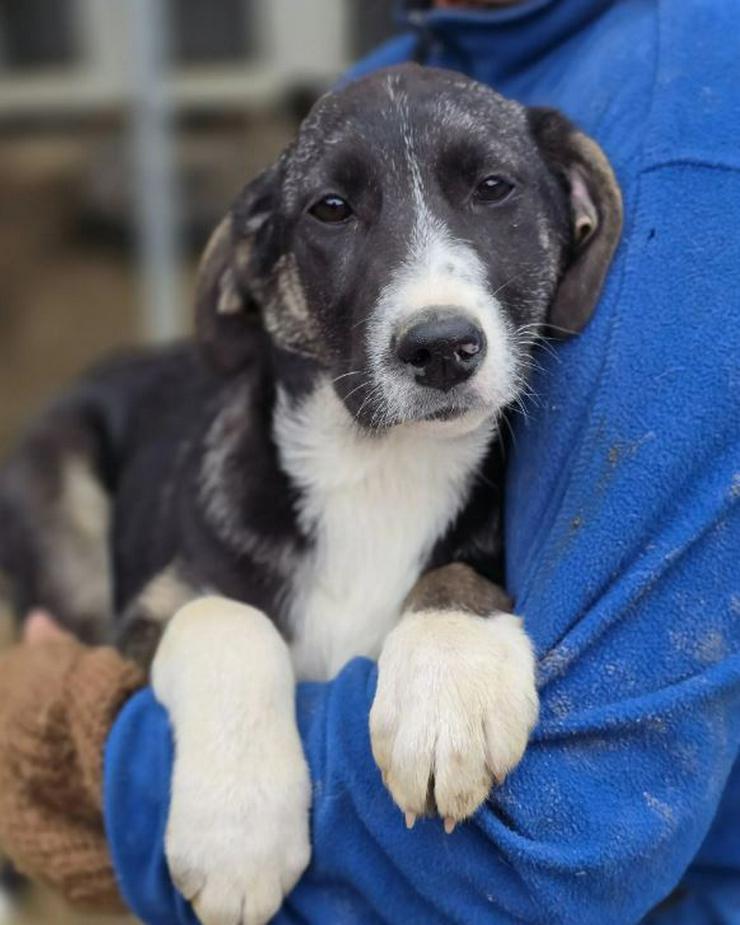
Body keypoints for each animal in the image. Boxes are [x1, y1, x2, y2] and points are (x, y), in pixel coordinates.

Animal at [0, 67, 620, 924]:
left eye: (494, 188)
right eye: (331, 208)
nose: (440, 348)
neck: (377, 465)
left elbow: (456, 574)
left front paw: (446, 695)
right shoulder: (139, 625)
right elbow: (226, 621)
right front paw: (238, 835)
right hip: (62, 496)